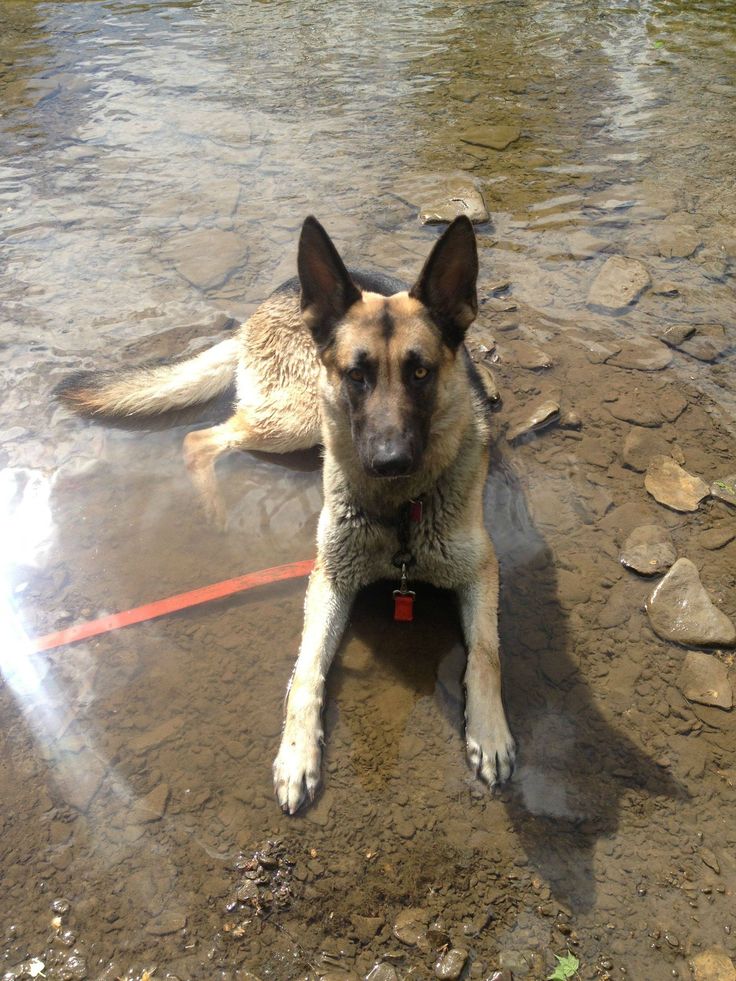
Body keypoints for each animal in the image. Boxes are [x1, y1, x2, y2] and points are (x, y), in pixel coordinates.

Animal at [60, 218, 516, 816]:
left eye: (419, 372)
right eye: (356, 375)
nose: (389, 461)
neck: (399, 514)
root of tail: (278, 294)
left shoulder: (482, 570)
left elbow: (486, 655)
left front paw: (489, 732)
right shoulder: (328, 579)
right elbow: (307, 670)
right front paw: (298, 752)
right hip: (299, 418)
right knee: (200, 439)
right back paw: (212, 504)